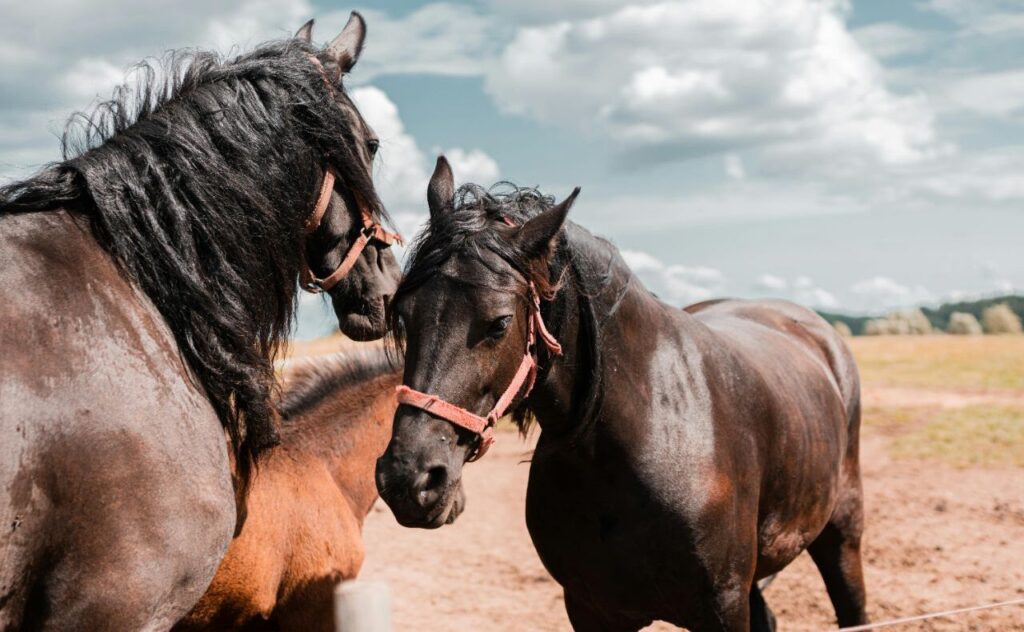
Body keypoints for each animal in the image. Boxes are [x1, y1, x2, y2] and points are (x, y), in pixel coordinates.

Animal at [375, 156, 868, 631]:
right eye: (404, 313)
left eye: (498, 323)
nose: (408, 479)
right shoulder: (590, 610)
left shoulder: (724, 607)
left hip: (841, 534)